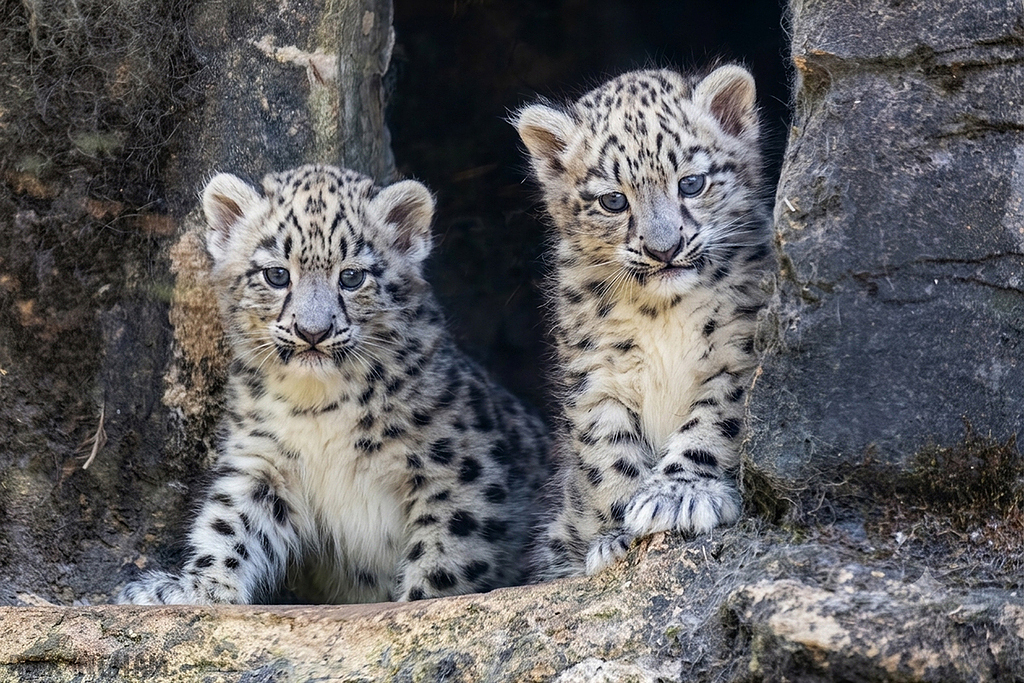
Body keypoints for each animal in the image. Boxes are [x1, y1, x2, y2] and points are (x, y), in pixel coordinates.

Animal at [118, 164, 549, 604]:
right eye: (277, 274)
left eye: (352, 276)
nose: (313, 331)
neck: (318, 406)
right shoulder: (263, 459)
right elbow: (230, 523)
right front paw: (192, 589)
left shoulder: (456, 470)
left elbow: (447, 554)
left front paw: (418, 600)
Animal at [513, 64, 772, 579]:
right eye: (613, 201)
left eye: (691, 183)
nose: (663, 248)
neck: (663, 314)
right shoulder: (598, 373)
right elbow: (607, 448)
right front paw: (618, 533)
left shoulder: (737, 350)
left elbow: (713, 420)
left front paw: (679, 495)